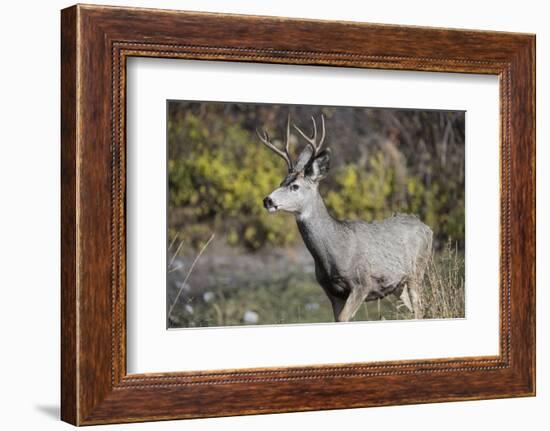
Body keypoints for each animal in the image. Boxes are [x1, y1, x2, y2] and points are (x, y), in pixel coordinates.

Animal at [258, 113, 436, 322]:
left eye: (295, 186)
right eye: (281, 182)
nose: (267, 200)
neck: (335, 251)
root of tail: (427, 227)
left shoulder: (363, 283)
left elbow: (344, 317)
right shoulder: (332, 292)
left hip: (417, 270)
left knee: (419, 307)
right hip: (398, 285)